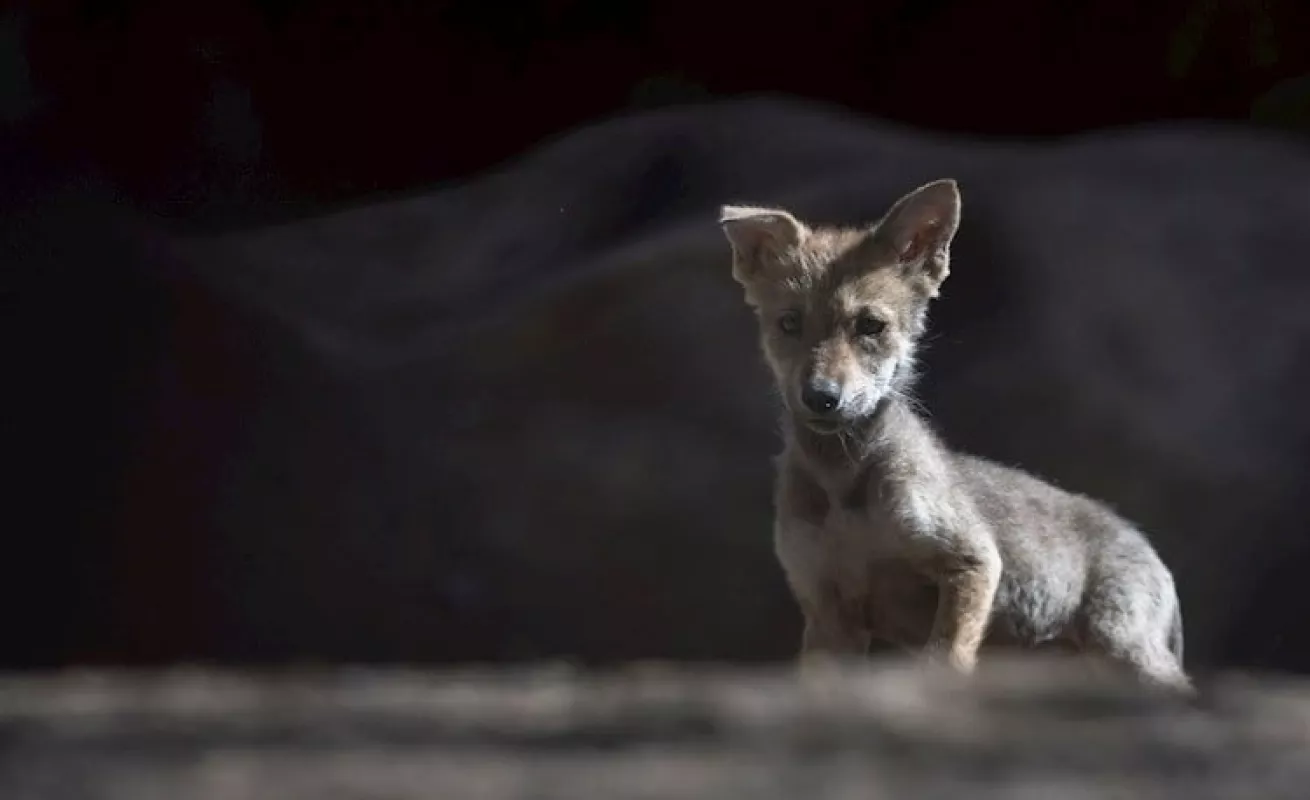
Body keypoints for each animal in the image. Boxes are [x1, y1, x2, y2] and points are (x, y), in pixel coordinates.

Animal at [720, 180, 1191, 691]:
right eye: (789, 323)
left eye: (870, 326)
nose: (821, 397)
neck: (843, 486)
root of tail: (1150, 549)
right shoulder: (828, 611)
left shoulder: (971, 560)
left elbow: (943, 660)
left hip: (1122, 645)